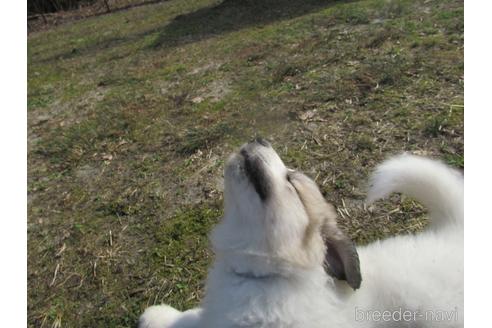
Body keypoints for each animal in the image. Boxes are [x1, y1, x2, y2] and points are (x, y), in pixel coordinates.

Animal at [139, 142, 466, 328]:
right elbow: (190, 318)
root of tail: (454, 231)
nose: (259, 138)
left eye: (292, 181)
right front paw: (159, 316)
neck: (270, 278)